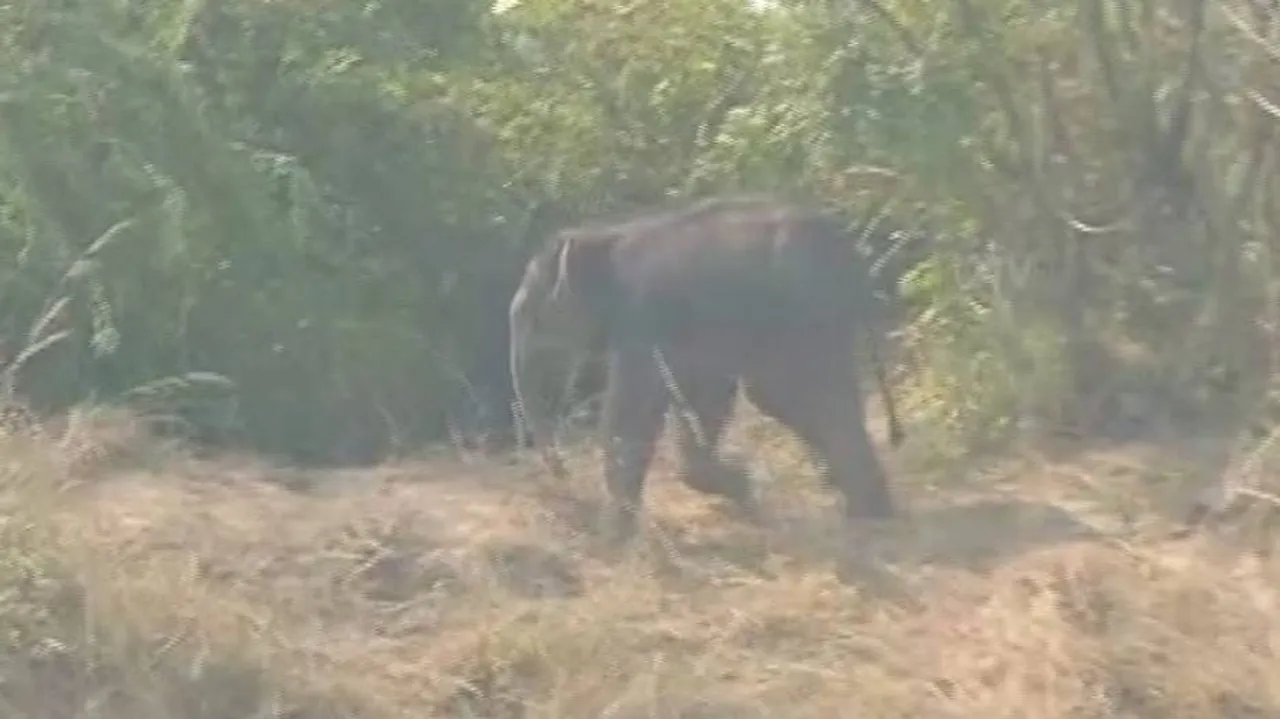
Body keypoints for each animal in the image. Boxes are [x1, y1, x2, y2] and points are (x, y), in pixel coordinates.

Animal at [508, 194, 906, 542]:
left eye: (533, 317)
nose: (563, 473)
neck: (605, 237)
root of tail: (852, 261)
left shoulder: (643, 320)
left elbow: (632, 416)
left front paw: (614, 539)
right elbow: (703, 401)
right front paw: (746, 489)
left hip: (806, 315)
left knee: (809, 396)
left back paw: (870, 518)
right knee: (792, 400)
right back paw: (862, 508)